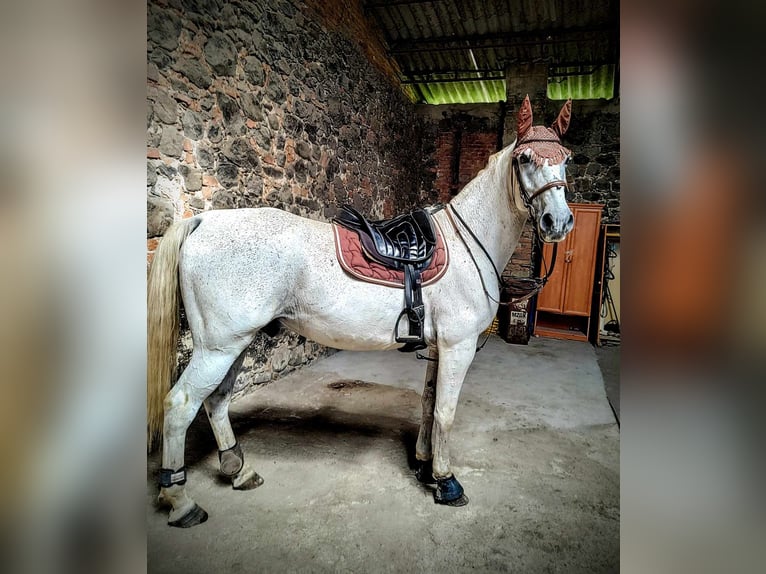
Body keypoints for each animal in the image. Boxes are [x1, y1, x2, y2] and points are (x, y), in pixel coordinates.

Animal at [147, 95, 576, 532]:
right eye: (524, 158)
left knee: (216, 400)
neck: (467, 242)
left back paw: (239, 470)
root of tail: (203, 220)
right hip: (218, 348)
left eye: (566, 158)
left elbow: (428, 403)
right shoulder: (459, 346)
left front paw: (423, 465)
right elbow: (445, 412)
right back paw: (180, 500)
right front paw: (446, 481)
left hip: (234, 344)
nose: (557, 222)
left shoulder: (438, 348)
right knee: (180, 404)